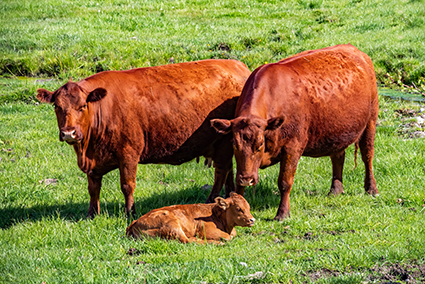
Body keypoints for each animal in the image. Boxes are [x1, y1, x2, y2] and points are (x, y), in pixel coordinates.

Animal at [36, 58, 250, 217]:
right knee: (228, 170)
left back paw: (210, 200)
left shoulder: (129, 153)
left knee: (221, 171)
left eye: (82, 106)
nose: (68, 132)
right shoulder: (93, 161)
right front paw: (92, 214)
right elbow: (93, 187)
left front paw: (130, 212)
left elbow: (127, 185)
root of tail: (238, 66)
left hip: (223, 141)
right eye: (57, 106)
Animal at [124, 192, 253, 243]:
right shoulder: (206, 229)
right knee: (188, 240)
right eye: (238, 208)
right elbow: (227, 237)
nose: (252, 220)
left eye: (249, 207)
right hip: (172, 225)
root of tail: (135, 222)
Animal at [210, 44, 380, 221]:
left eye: (260, 144)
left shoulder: (293, 147)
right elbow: (238, 186)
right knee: (338, 157)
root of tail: (354, 50)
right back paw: (335, 190)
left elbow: (285, 182)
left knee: (367, 156)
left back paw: (371, 189)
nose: (247, 179)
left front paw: (283, 213)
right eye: (234, 144)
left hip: (370, 122)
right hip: (337, 131)